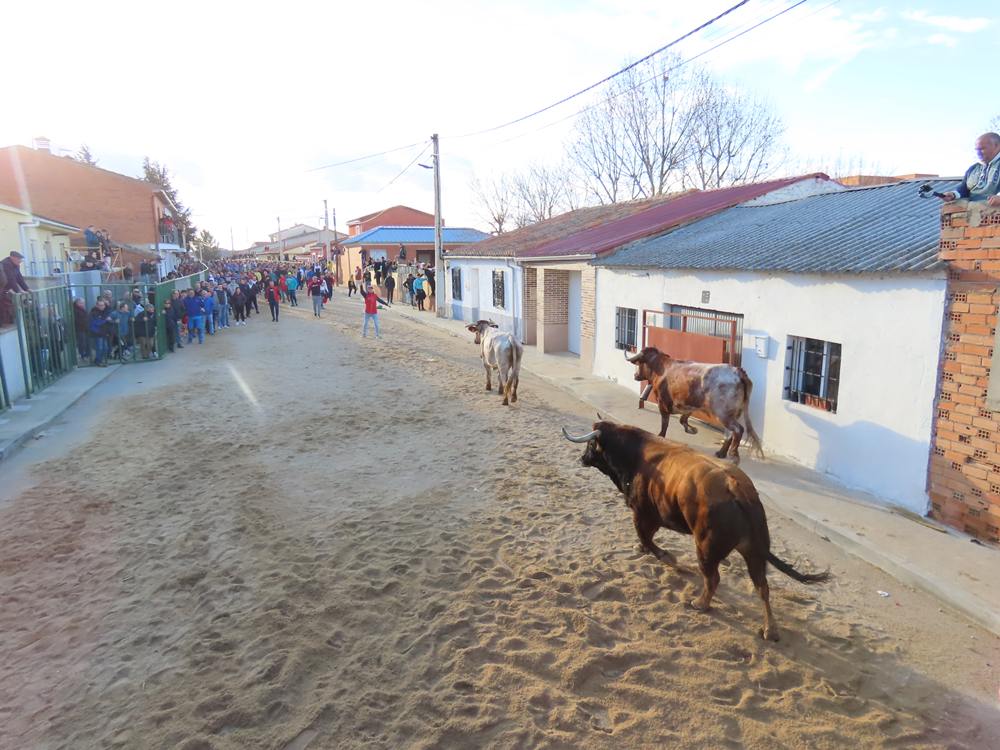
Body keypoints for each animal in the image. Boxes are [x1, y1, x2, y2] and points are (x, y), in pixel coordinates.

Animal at [564, 420, 828, 644]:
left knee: (713, 578)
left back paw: (700, 603)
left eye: (591, 444)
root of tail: (737, 488)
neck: (636, 455)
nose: (582, 458)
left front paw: (671, 560)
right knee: (761, 586)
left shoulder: (643, 513)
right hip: (753, 551)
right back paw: (770, 630)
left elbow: (646, 538)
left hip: (706, 547)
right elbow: (646, 540)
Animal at [628, 346, 760, 464]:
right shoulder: (689, 404)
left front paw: (661, 436)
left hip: (723, 414)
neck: (662, 368)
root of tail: (737, 372)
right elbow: (683, 418)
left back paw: (733, 456)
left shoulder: (663, 402)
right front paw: (691, 429)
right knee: (730, 433)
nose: (635, 375)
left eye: (639, 363)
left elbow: (665, 423)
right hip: (732, 414)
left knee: (738, 429)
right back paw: (721, 453)